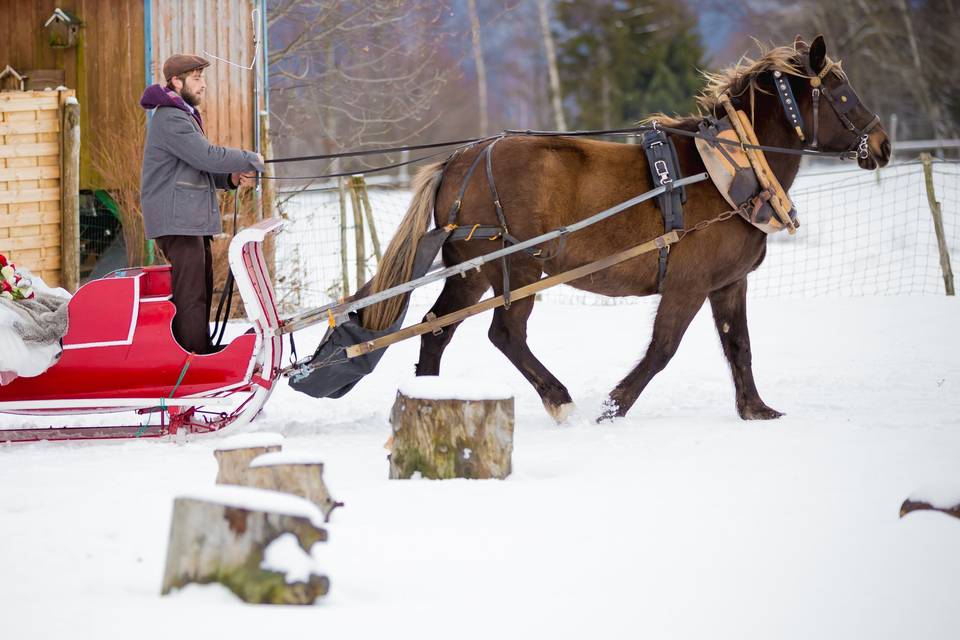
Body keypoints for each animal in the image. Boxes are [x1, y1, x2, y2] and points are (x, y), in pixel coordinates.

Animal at [362, 37, 892, 422]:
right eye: (843, 92)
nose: (884, 145)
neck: (726, 171)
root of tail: (459, 159)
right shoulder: (687, 284)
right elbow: (662, 349)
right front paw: (613, 406)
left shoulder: (728, 284)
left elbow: (739, 346)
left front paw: (757, 410)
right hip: (517, 268)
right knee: (506, 334)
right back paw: (559, 399)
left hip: (472, 271)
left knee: (436, 330)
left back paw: (427, 394)